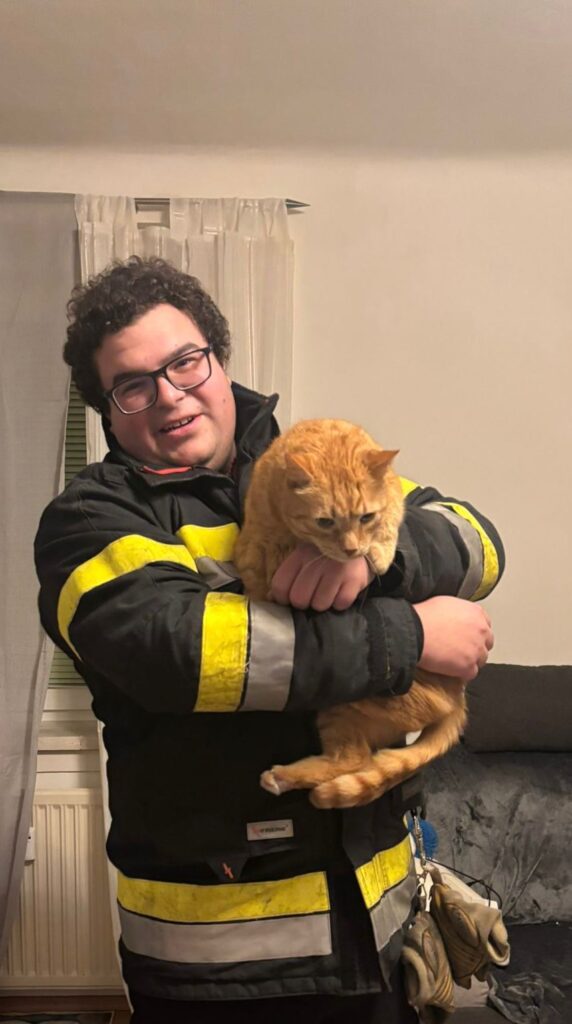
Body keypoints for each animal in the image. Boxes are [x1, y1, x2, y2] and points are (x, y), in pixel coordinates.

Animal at [233, 418, 467, 809]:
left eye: (366, 516)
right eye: (325, 521)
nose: (352, 550)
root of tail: (458, 698)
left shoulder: (394, 493)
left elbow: (393, 516)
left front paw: (380, 554)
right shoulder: (253, 546)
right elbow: (260, 565)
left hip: (349, 703)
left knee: (355, 758)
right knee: (353, 758)